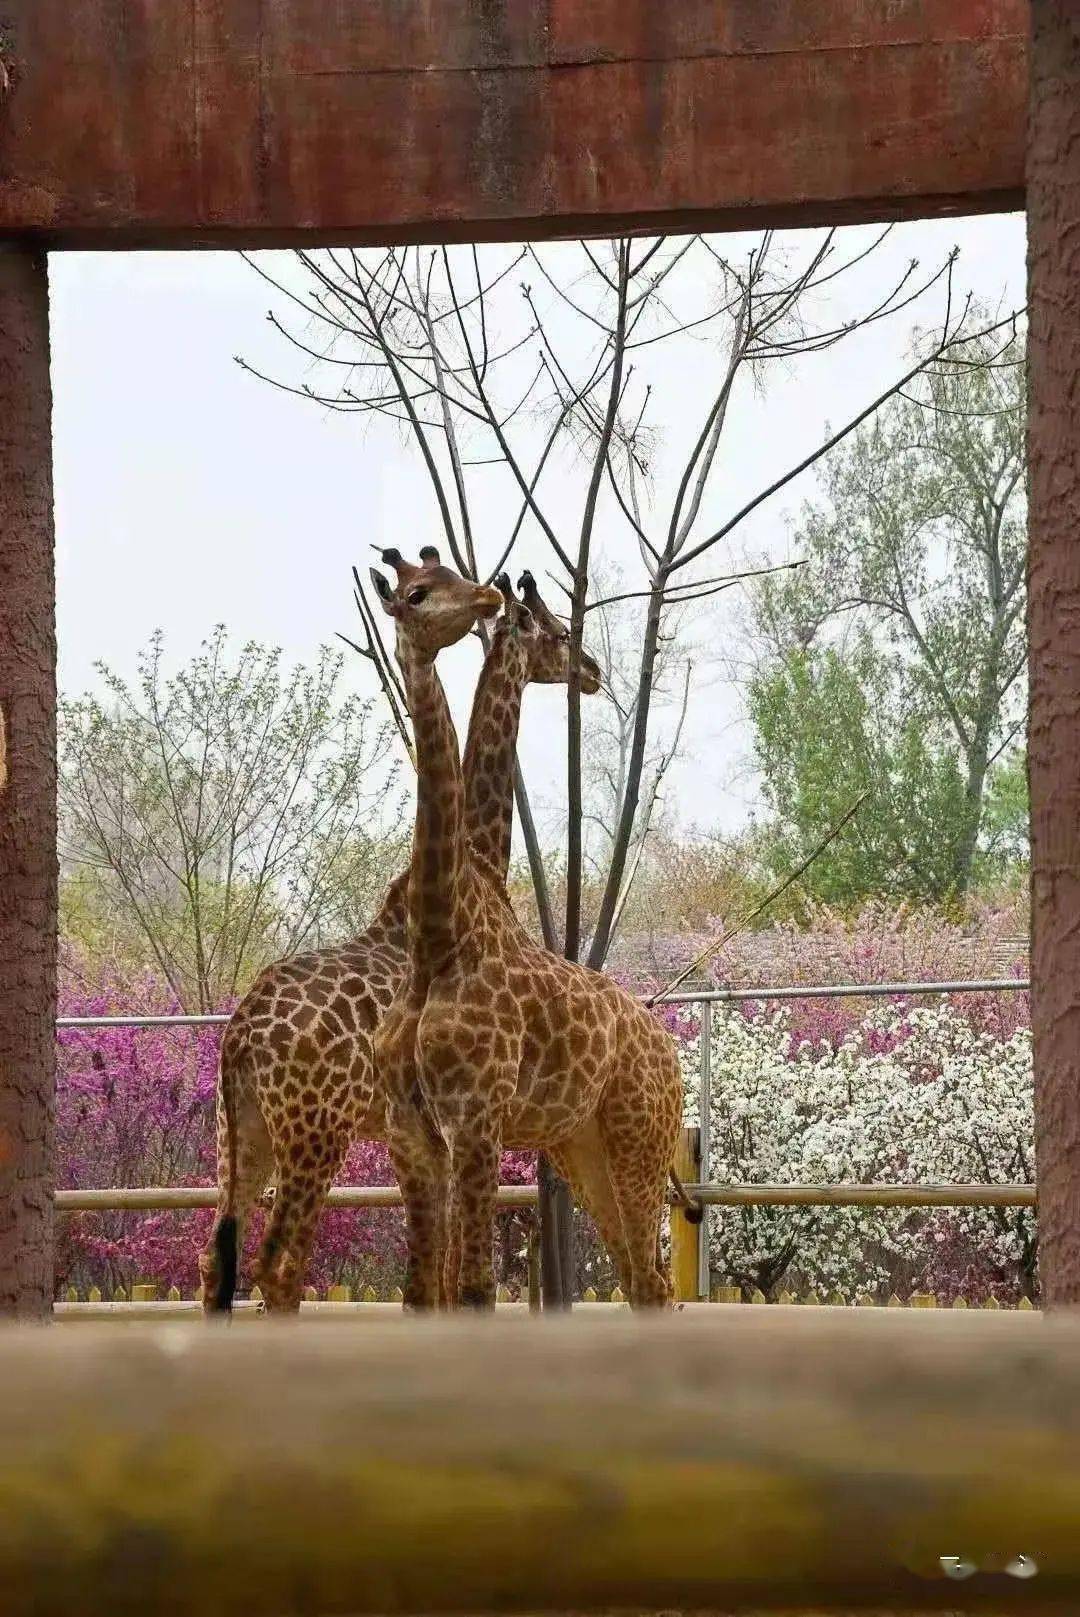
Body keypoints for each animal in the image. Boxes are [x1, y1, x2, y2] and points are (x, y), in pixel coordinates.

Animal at [196, 549, 598, 1306]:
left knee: (216, 1259)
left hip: (240, 1133)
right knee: (279, 1264)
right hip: (315, 1131)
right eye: (559, 631)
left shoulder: (412, 1134)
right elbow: (448, 1275)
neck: (481, 860)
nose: (592, 669)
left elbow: (430, 1279)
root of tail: (238, 1038)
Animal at [375, 549, 688, 1306]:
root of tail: (671, 1055)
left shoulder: (475, 1121)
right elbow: (427, 1292)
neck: (440, 933)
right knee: (640, 1278)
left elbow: (471, 1289)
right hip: (584, 1148)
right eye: (417, 593)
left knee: (651, 1280)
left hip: (633, 1141)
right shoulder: (420, 1129)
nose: (594, 670)